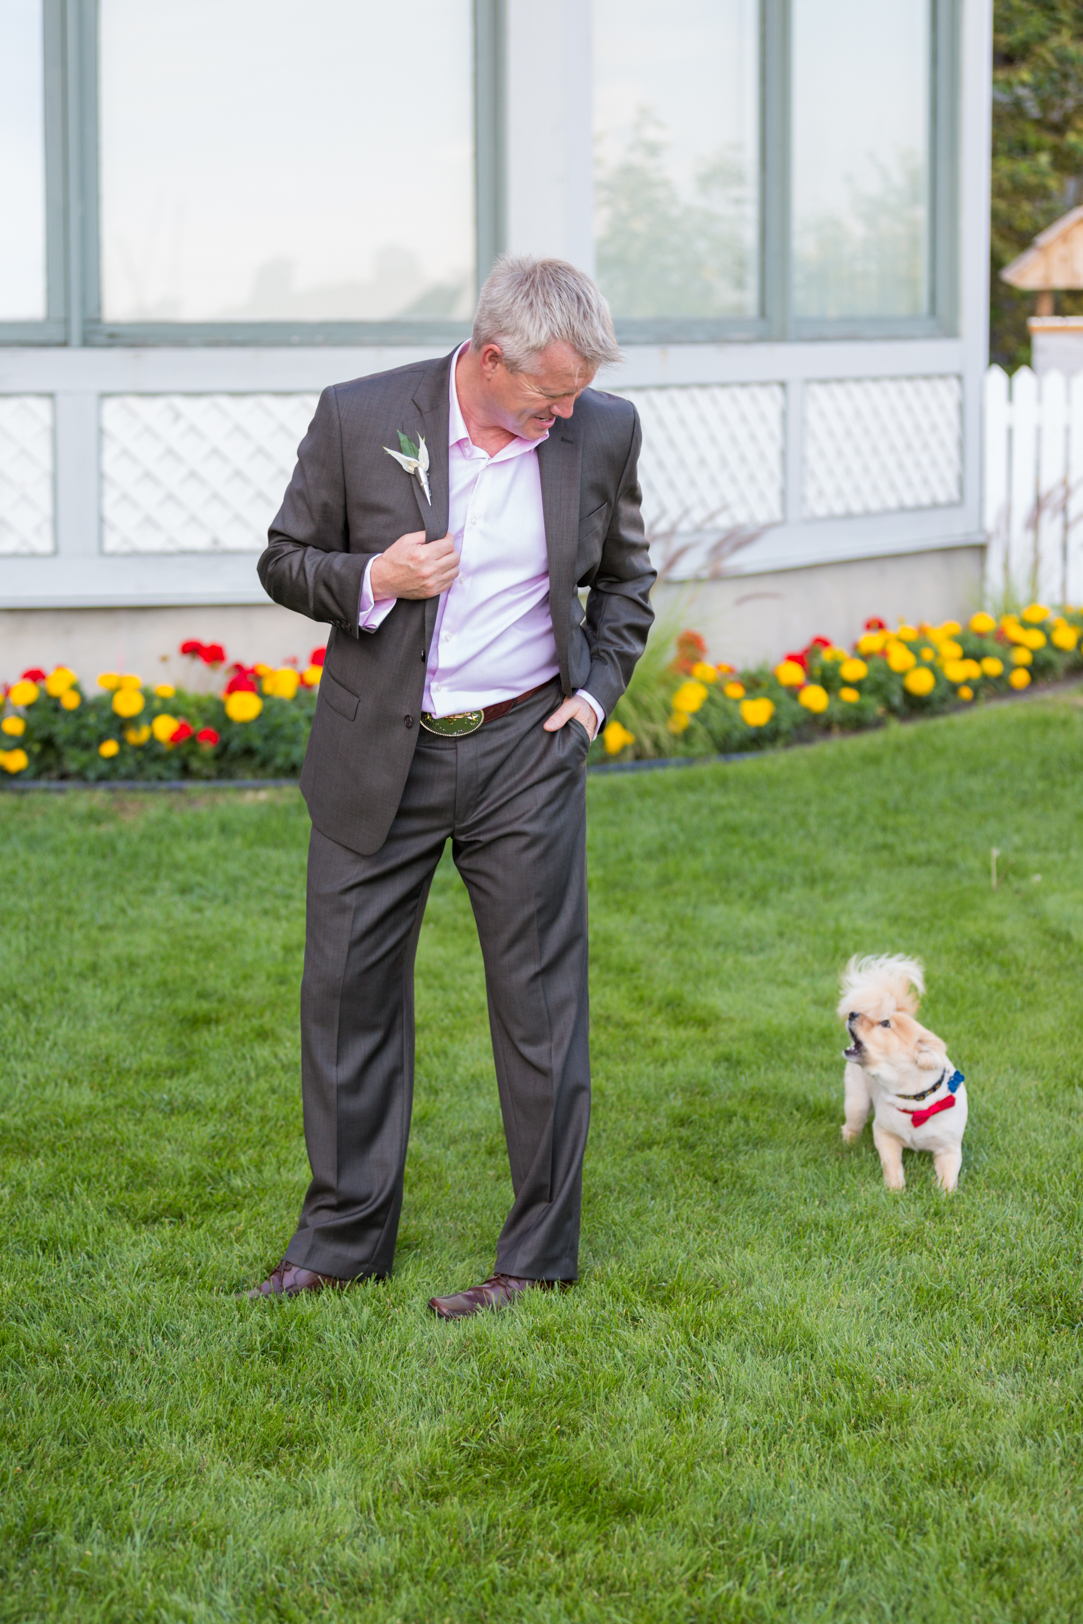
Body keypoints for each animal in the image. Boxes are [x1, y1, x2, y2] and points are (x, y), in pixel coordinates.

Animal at [837, 948, 967, 1195]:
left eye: (885, 1024)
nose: (853, 1014)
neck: (915, 1101)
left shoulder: (950, 1149)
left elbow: (948, 1178)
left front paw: (944, 1196)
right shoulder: (884, 1135)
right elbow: (892, 1164)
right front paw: (895, 1190)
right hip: (856, 1102)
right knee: (851, 1126)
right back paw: (848, 1145)